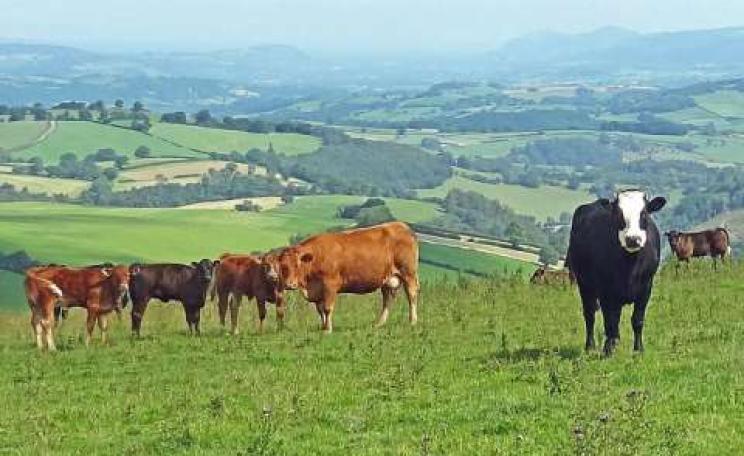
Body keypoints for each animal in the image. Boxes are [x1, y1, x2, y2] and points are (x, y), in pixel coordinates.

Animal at [261, 221, 419, 333]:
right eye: (283, 267)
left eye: (298, 264)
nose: (290, 284)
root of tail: (401, 226)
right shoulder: (318, 290)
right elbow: (320, 309)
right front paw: (323, 327)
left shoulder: (330, 285)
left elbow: (327, 308)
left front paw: (328, 330)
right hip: (387, 280)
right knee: (387, 300)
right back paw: (379, 323)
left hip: (408, 273)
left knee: (411, 295)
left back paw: (413, 321)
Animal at [567, 190, 667, 355]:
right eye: (619, 214)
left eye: (644, 213)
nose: (632, 239)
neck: (630, 266)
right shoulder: (606, 290)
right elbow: (610, 321)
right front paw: (608, 350)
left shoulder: (646, 287)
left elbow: (637, 319)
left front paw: (638, 349)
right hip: (584, 284)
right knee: (590, 314)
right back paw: (590, 347)